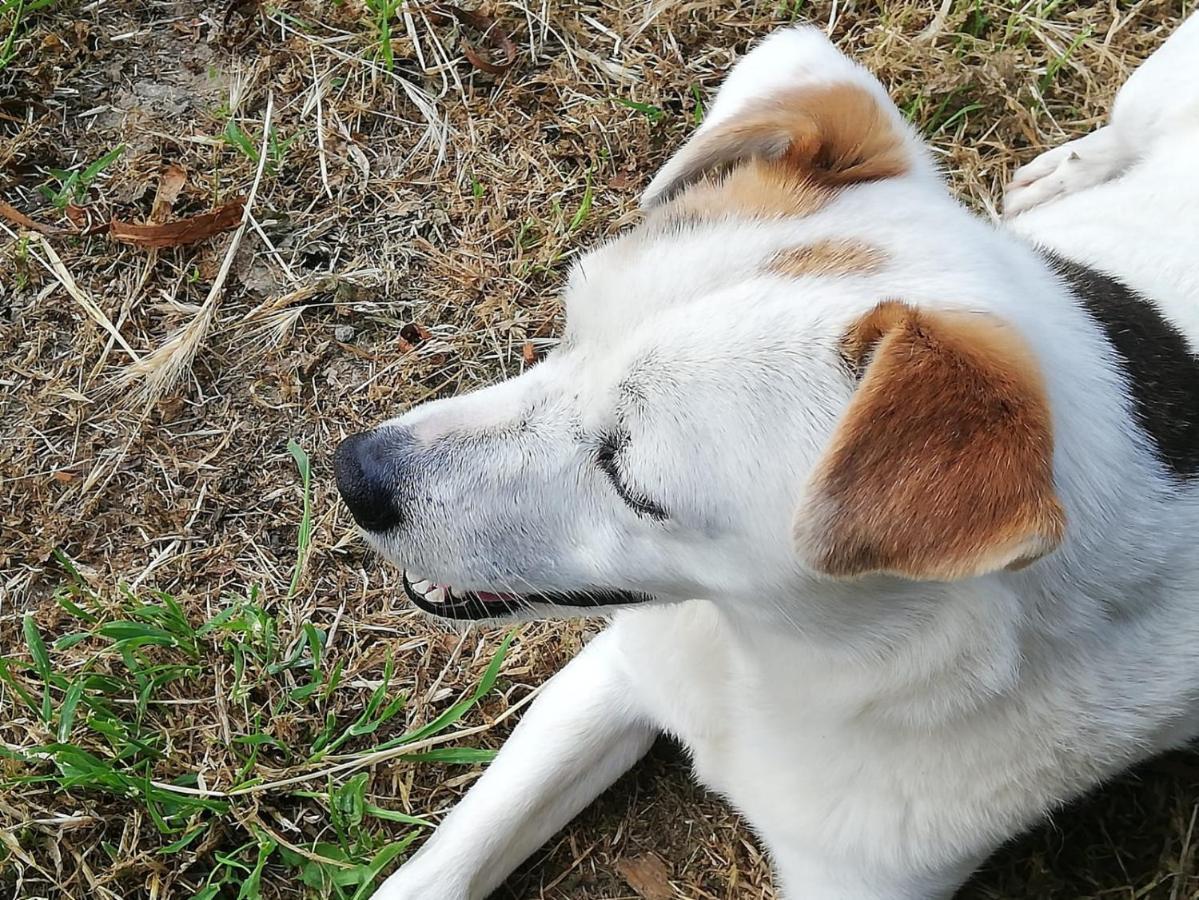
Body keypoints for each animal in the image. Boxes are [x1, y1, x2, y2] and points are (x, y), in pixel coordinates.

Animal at [333, 15, 1199, 900]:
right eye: (570, 334)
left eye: (632, 484)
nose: (355, 473)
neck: (779, 661)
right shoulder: (608, 679)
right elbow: (450, 859)